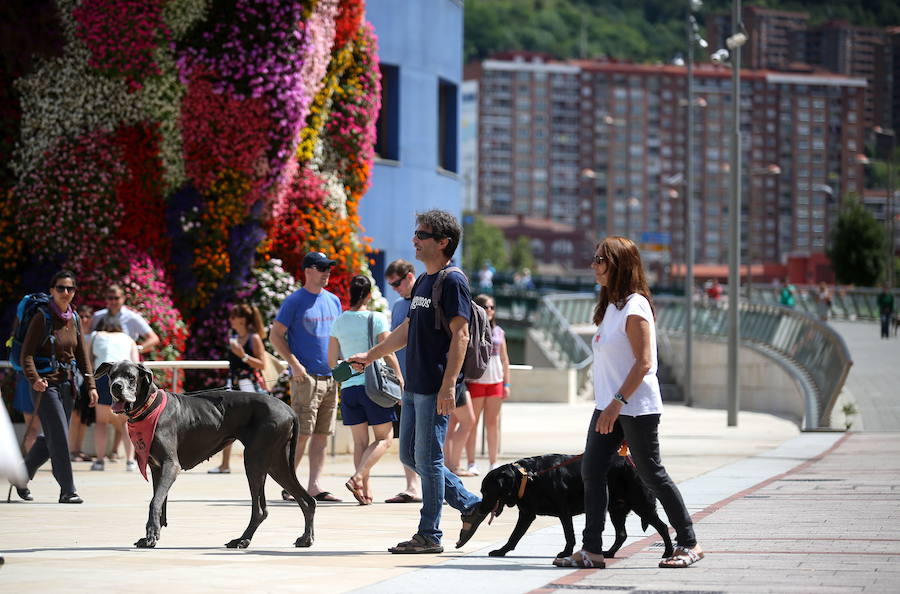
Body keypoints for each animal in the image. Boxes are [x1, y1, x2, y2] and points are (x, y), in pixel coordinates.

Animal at [95, 358, 316, 548]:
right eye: (112, 375)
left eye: (131, 377)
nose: (116, 387)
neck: (149, 407)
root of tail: (289, 409)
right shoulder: (157, 467)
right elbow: (160, 501)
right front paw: (153, 534)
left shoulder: (170, 465)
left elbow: (154, 502)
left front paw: (151, 534)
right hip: (276, 463)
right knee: (307, 500)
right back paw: (305, 538)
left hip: (255, 460)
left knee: (261, 509)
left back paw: (242, 540)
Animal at [474, 450, 672, 556]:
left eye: (486, 491)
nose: (480, 510)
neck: (527, 477)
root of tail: (634, 463)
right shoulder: (527, 514)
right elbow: (514, 536)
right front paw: (501, 551)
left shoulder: (564, 511)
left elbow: (569, 534)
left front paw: (566, 553)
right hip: (616, 509)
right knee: (622, 534)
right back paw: (609, 553)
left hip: (640, 503)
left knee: (662, 526)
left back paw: (668, 552)